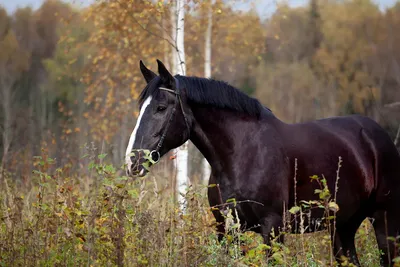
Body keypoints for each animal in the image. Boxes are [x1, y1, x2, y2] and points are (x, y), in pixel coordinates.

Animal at [126, 59, 400, 266]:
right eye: (141, 107)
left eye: (161, 107)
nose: (132, 161)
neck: (242, 154)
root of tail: (378, 136)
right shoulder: (226, 231)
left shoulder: (273, 229)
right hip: (343, 227)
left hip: (384, 222)